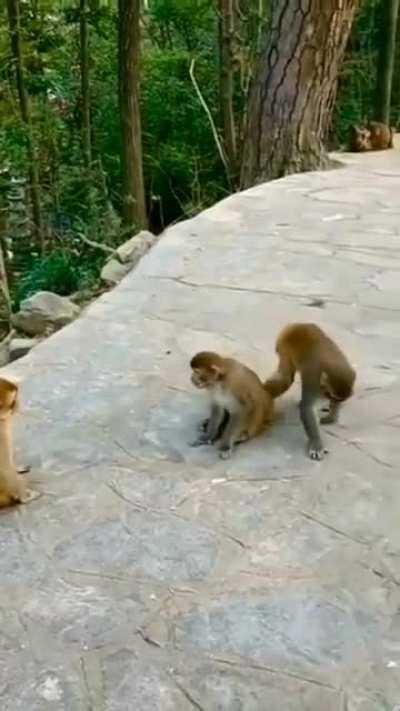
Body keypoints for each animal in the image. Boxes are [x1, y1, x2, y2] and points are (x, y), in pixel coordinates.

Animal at [264, 324, 356, 461]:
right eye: (330, 395)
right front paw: (316, 444)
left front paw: (331, 417)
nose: (333, 401)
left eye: (335, 398)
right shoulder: (313, 378)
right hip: (284, 345)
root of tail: (298, 325)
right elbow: (307, 408)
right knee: (286, 378)